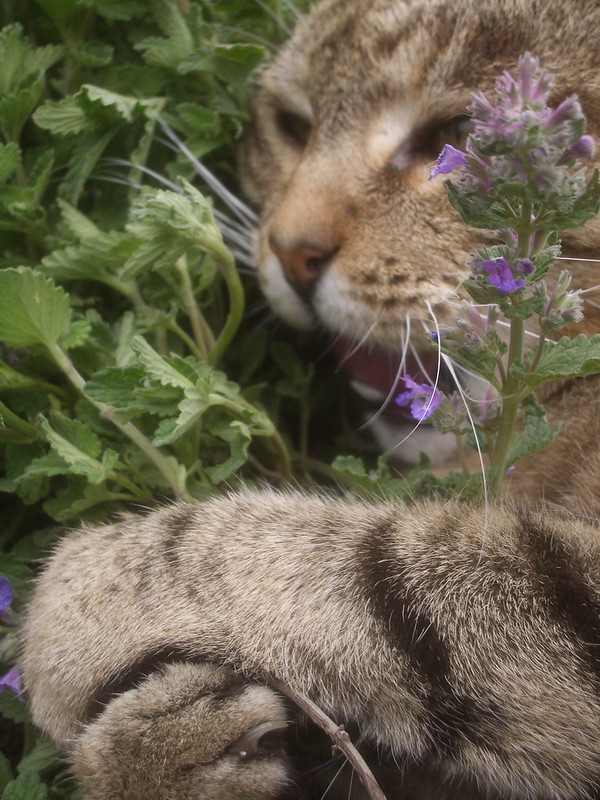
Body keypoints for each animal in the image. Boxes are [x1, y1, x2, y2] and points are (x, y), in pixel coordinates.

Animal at [21, 0, 600, 796]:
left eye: (457, 136)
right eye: (291, 125)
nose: (291, 251)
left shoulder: (555, 591)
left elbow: (386, 565)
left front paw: (83, 597)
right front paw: (170, 746)